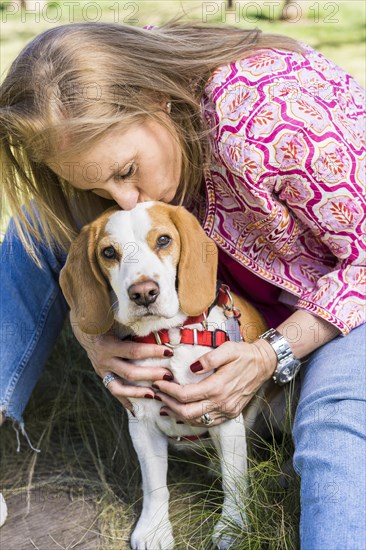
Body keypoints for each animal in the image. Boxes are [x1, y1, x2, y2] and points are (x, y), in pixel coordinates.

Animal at [60, 203, 272, 550]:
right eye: (108, 252)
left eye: (163, 240)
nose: (144, 293)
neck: (167, 338)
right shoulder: (142, 422)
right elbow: (154, 483)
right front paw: (155, 528)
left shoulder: (224, 413)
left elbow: (234, 478)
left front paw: (234, 525)